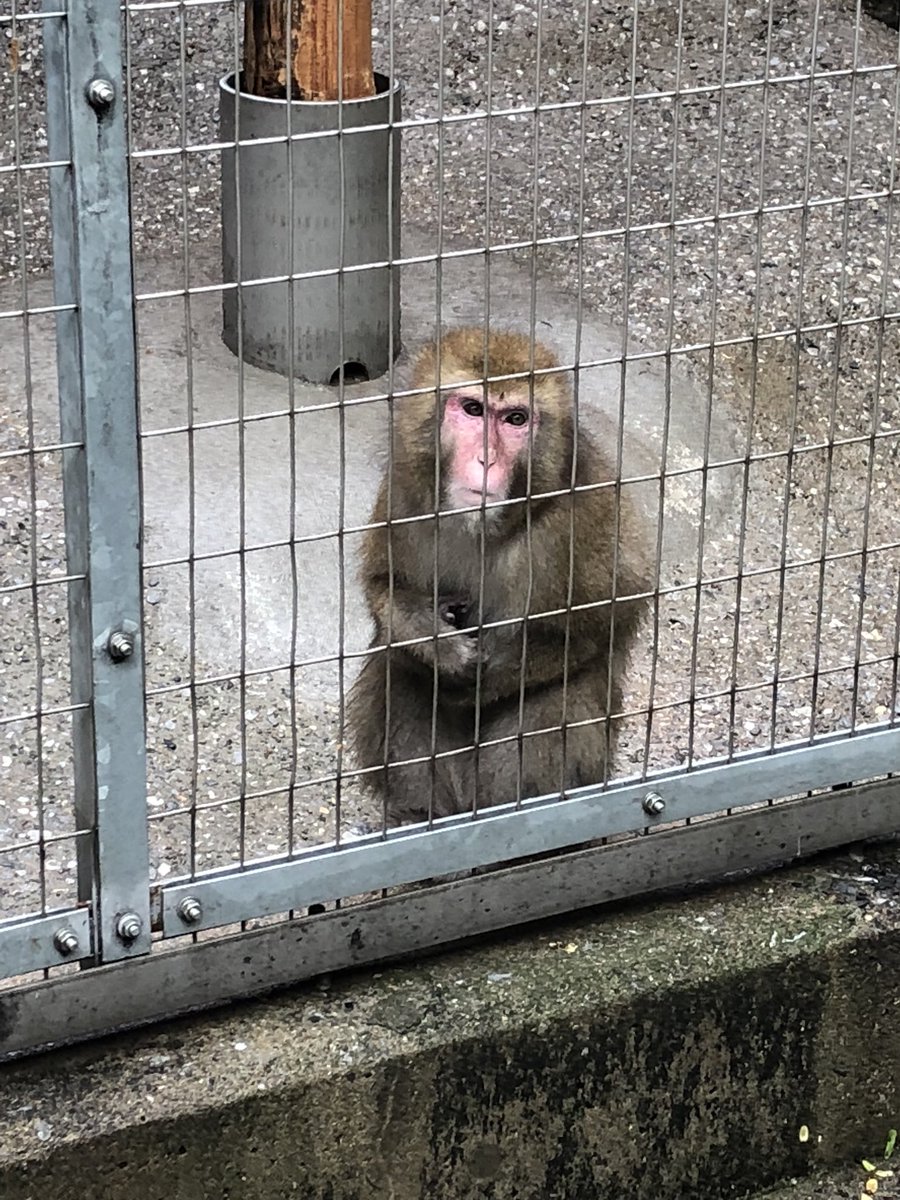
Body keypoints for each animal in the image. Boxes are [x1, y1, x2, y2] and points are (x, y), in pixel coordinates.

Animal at [348, 324, 657, 825]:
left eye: (515, 419)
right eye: (473, 409)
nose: (487, 461)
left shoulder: (582, 514)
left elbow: (597, 623)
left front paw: (477, 683)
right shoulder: (405, 492)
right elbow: (384, 589)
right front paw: (435, 640)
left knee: (555, 699)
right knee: (401, 670)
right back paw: (420, 815)